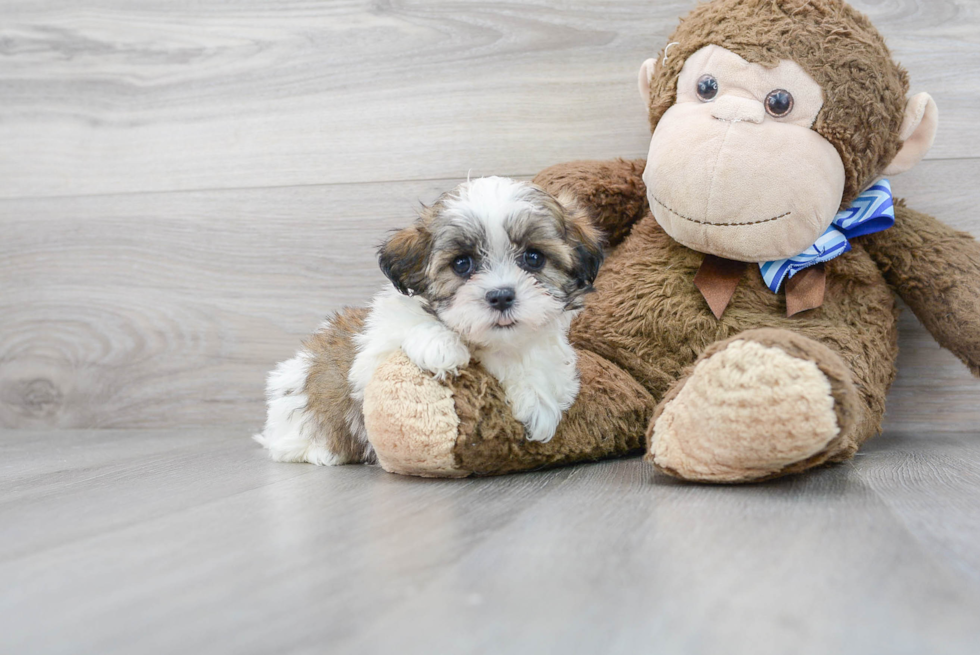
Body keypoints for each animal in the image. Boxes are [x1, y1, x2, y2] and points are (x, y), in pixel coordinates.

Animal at [253, 178, 604, 466]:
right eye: (462, 264)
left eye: (534, 258)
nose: (501, 296)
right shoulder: (372, 356)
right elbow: (409, 324)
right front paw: (441, 345)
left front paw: (537, 398)